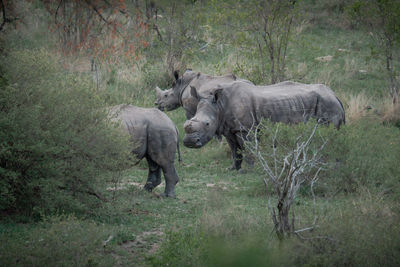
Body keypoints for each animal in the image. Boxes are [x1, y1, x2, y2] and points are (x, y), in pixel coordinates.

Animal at [183, 80, 346, 171]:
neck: (220, 106)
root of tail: (336, 96)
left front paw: (248, 170)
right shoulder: (229, 129)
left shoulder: (245, 129)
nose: (190, 142)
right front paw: (232, 169)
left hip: (328, 105)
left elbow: (247, 148)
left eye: (207, 124)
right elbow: (235, 150)